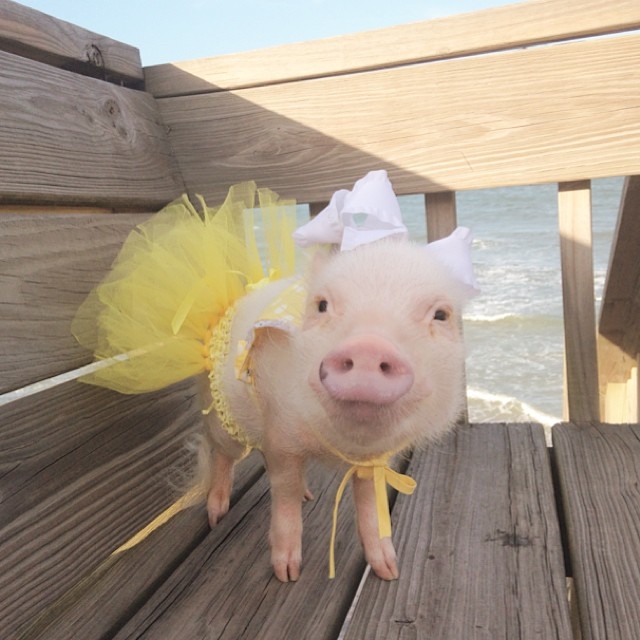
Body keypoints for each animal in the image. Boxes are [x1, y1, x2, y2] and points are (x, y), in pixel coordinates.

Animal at [195, 236, 474, 582]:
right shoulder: (281, 435)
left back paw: (307, 495)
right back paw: (216, 515)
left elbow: (368, 503)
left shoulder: (372, 461)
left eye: (441, 315)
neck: (345, 444)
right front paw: (287, 574)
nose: (369, 347)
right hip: (223, 419)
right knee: (222, 453)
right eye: (322, 305)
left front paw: (389, 571)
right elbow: (284, 492)